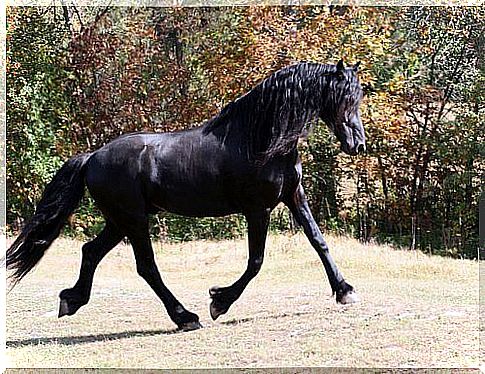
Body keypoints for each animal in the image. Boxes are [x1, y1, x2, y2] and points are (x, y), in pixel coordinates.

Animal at [6, 60, 364, 330]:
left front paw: (345, 290)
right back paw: (185, 317)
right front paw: (219, 301)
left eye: (357, 97)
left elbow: (318, 241)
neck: (260, 140)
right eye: (343, 97)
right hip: (134, 221)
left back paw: (71, 300)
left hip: (119, 221)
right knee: (146, 266)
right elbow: (256, 261)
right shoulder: (257, 209)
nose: (357, 145)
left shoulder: (293, 195)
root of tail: (92, 157)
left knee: (91, 251)